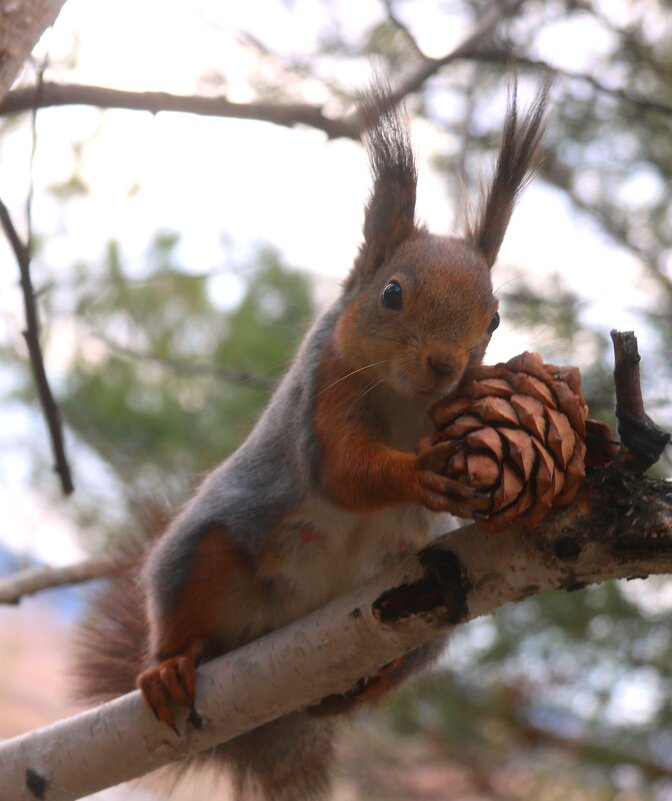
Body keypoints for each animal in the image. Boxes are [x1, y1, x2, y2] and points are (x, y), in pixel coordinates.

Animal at [77, 79, 552, 800]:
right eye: (391, 293)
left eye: (495, 317)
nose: (446, 365)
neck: (410, 403)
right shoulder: (324, 387)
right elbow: (345, 470)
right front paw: (415, 474)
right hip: (207, 549)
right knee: (188, 614)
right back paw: (169, 665)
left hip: (427, 631)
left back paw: (357, 686)